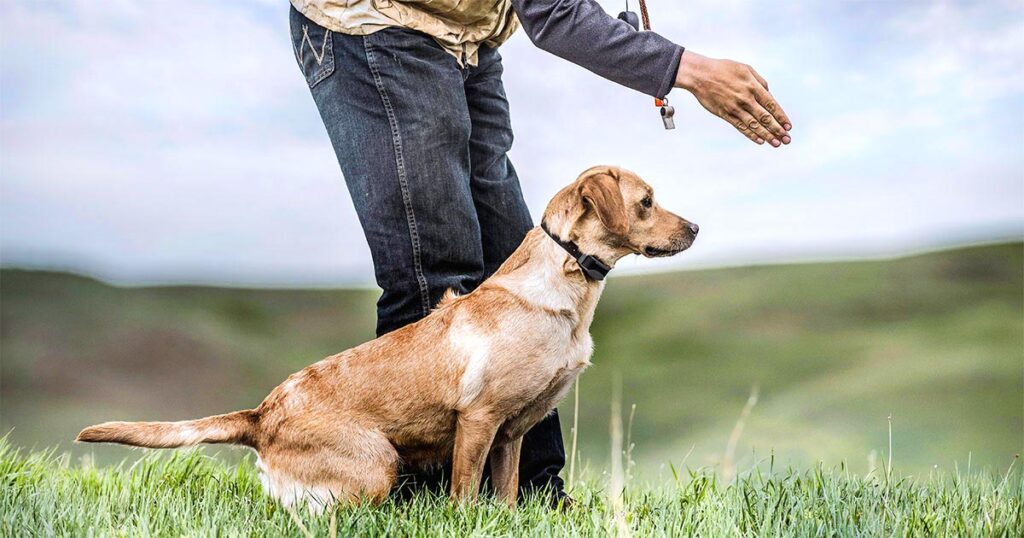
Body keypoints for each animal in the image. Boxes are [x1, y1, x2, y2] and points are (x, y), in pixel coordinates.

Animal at [77, 166, 696, 510]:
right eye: (646, 202)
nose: (695, 227)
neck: (565, 284)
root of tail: (260, 415)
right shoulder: (478, 420)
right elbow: (465, 496)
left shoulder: (512, 433)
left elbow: (506, 495)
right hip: (378, 463)